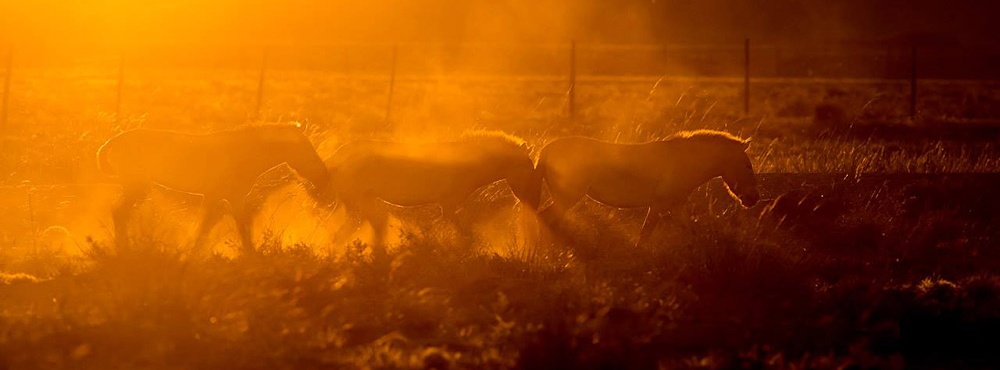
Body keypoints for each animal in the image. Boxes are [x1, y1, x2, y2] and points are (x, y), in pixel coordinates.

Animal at [95, 124, 328, 251]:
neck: (245, 155)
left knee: (119, 213)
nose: (322, 173)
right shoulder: (218, 196)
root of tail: (114, 140)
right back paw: (123, 249)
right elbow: (209, 228)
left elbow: (226, 227)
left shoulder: (228, 198)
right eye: (305, 147)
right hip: (137, 186)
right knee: (119, 212)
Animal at [320, 131, 540, 254]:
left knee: (339, 230)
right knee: (348, 231)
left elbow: (441, 230)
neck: (469, 165)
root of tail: (335, 159)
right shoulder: (448, 205)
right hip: (359, 204)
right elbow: (459, 234)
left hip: (356, 205)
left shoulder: (448, 207)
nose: (534, 201)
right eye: (529, 167)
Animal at [540, 130, 756, 246]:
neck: (683, 162)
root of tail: (545, 151)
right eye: (747, 165)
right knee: (547, 218)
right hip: (567, 197)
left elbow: (692, 231)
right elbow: (644, 235)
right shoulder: (658, 206)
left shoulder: (677, 206)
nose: (754, 198)